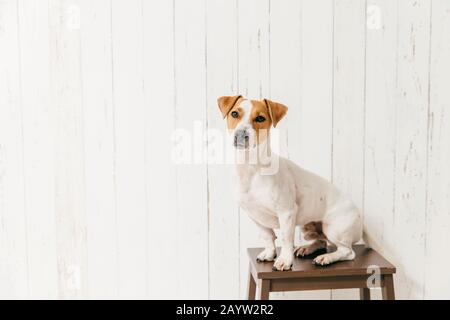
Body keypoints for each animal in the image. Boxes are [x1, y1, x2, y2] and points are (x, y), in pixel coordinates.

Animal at [217, 94, 362, 270]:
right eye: (235, 114)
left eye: (260, 118)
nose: (240, 135)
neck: (251, 167)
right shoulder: (254, 214)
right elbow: (267, 236)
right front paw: (270, 253)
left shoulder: (286, 212)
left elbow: (286, 238)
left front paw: (284, 261)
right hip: (308, 227)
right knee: (321, 241)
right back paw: (307, 248)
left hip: (334, 228)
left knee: (347, 251)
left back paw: (327, 257)